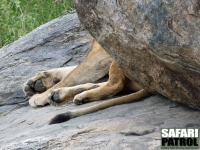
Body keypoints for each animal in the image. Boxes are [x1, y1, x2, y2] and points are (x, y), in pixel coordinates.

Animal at [22, 39, 150, 124]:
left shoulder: (102, 51)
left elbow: (72, 75)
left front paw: (39, 96)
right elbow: (72, 70)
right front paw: (37, 82)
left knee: (115, 85)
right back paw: (60, 95)